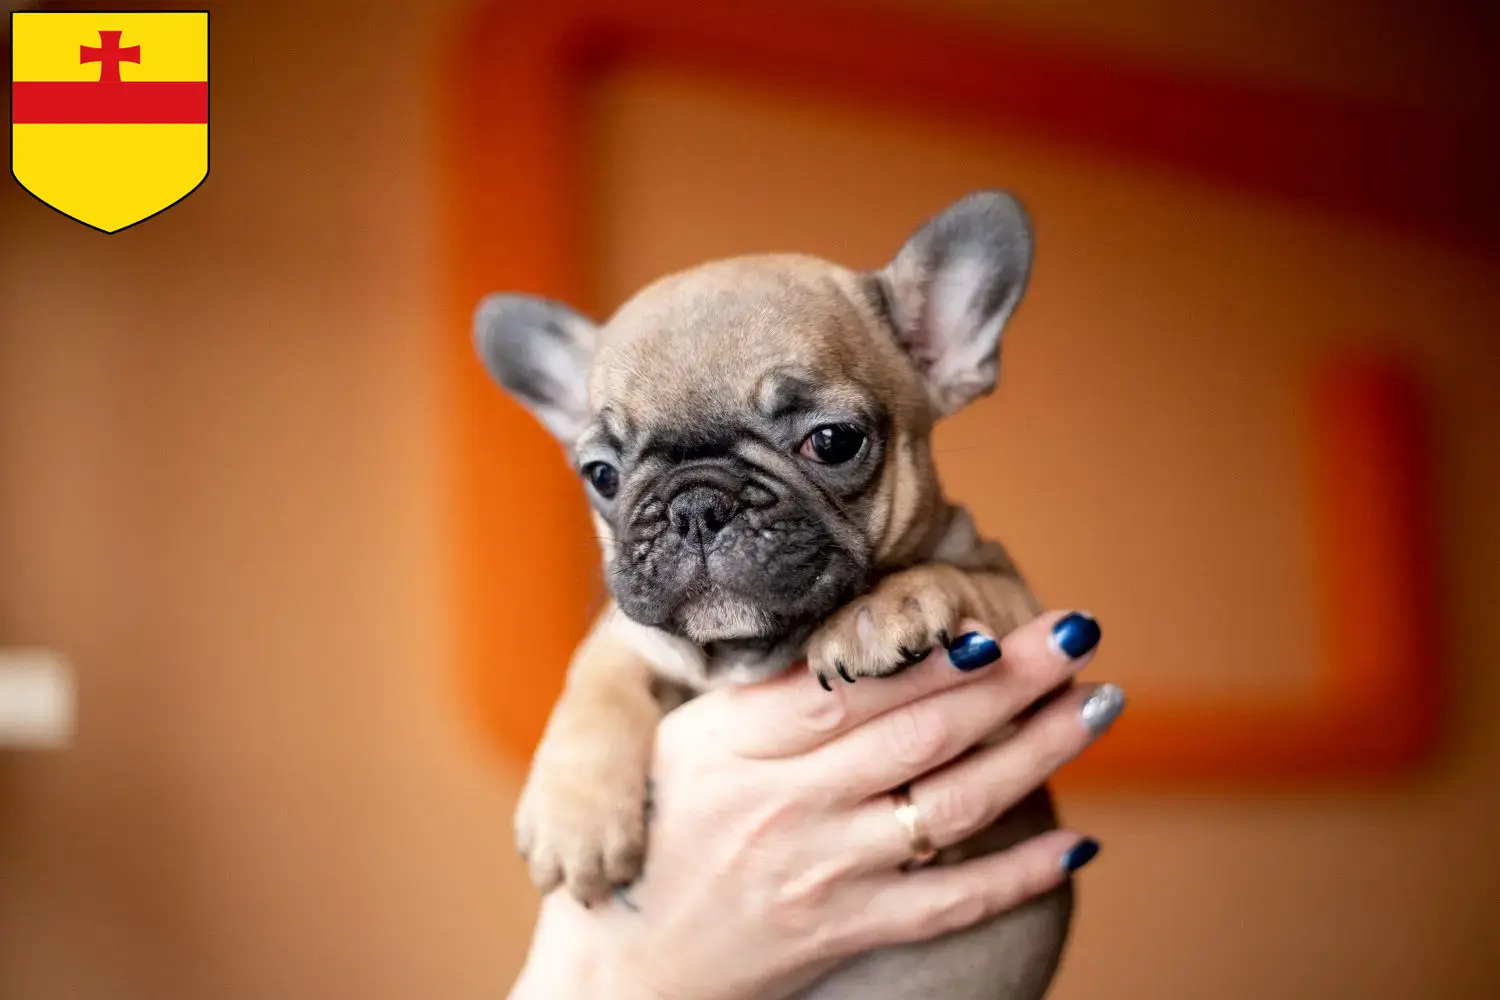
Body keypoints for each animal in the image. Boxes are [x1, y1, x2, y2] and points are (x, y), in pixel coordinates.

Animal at [474, 191, 1074, 995]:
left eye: (833, 441)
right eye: (601, 474)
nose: (696, 506)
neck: (749, 654)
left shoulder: (1022, 633)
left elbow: (965, 582)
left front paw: (880, 609)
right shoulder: (631, 637)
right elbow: (597, 675)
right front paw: (575, 818)